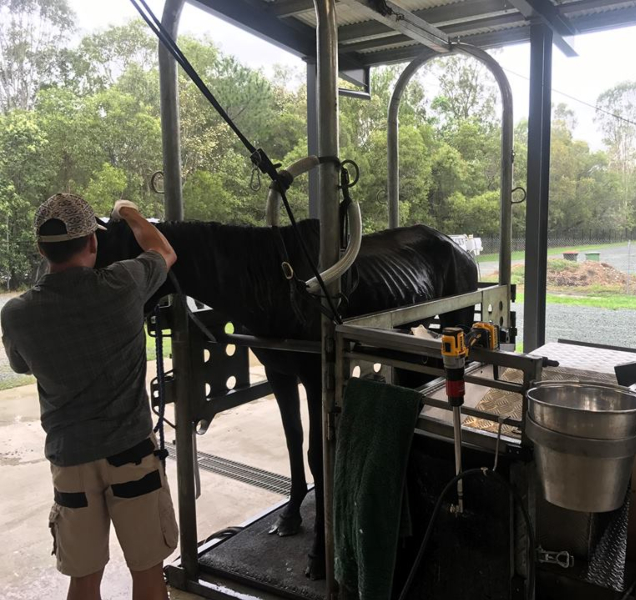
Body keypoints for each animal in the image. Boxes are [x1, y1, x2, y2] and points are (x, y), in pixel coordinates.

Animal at [95, 218, 476, 580]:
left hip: (456, 323)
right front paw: (291, 516)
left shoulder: (314, 377)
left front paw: (320, 554)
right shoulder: (279, 373)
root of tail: (455, 245)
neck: (271, 285)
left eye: (110, 262)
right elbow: (293, 441)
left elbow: (316, 454)